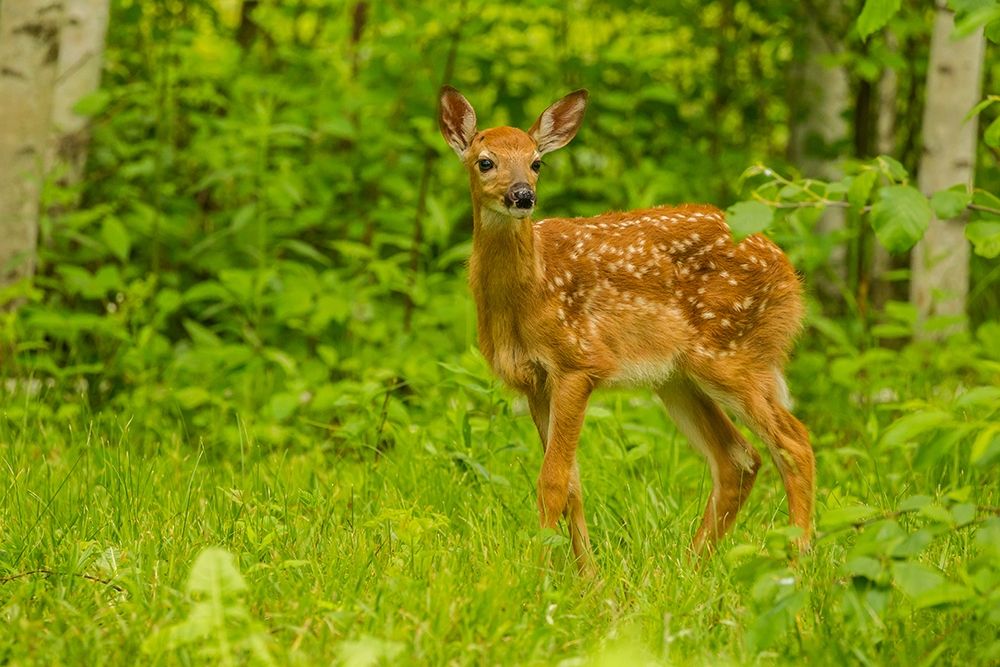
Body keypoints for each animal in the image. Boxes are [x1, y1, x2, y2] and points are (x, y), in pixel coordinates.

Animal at [438, 86, 815, 575]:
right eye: (485, 161)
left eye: (537, 162)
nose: (522, 196)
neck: (531, 291)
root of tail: (790, 273)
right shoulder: (535, 382)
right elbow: (572, 484)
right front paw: (589, 579)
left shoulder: (578, 362)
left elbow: (552, 481)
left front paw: (538, 576)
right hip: (678, 377)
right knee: (739, 457)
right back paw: (690, 568)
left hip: (734, 354)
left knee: (794, 443)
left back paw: (796, 564)